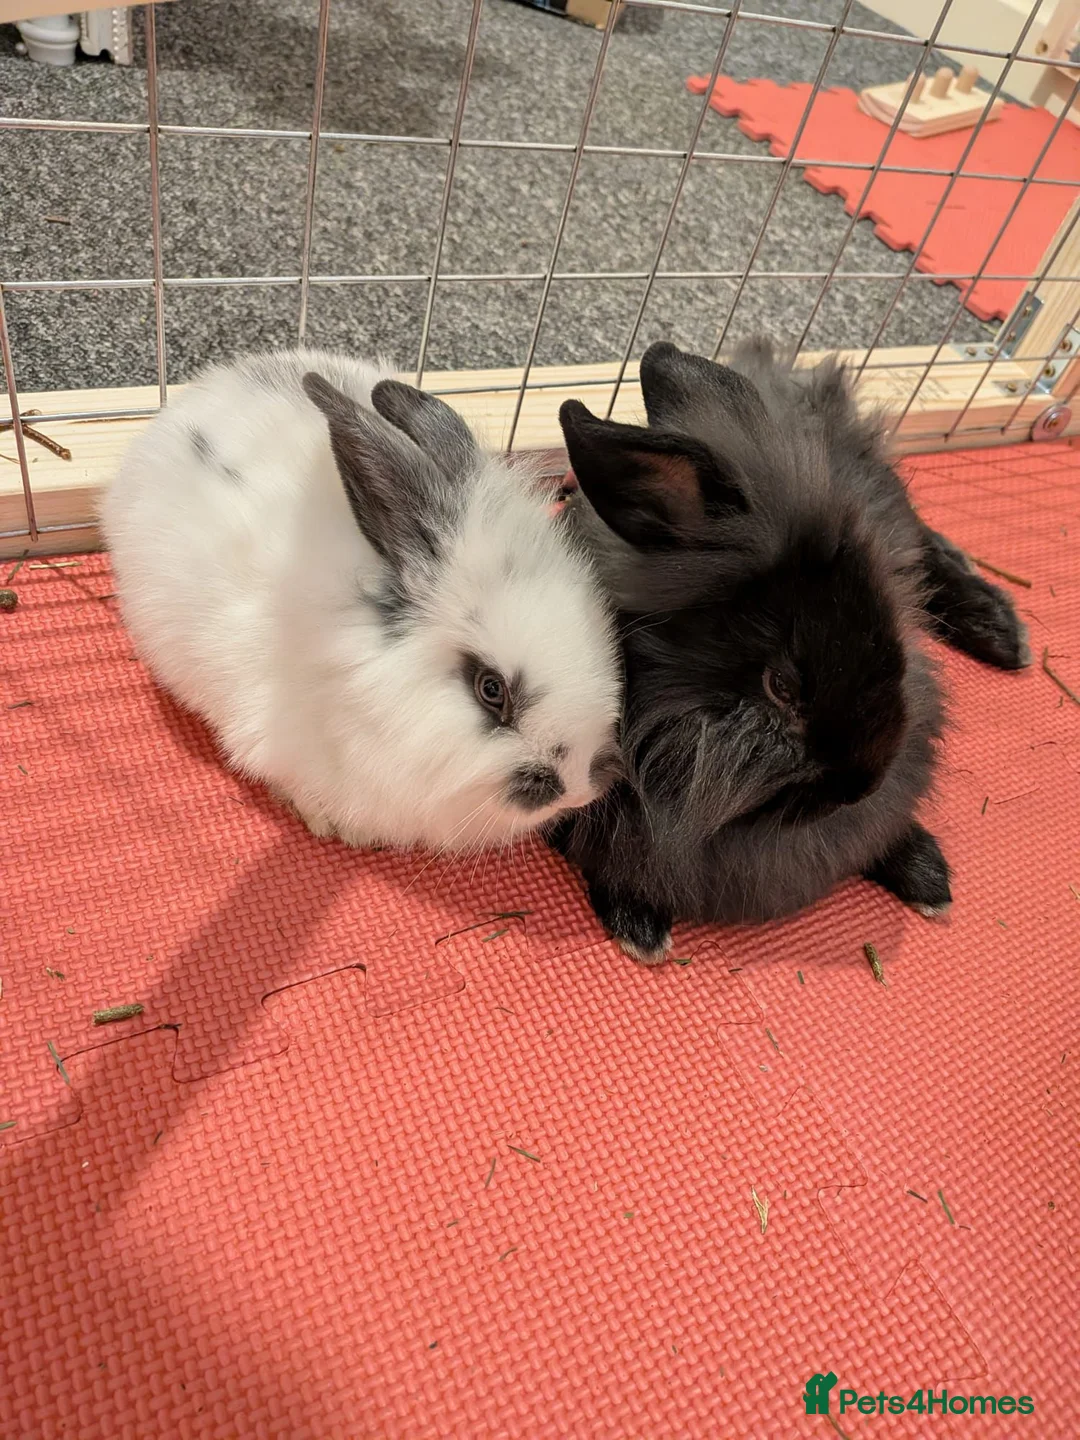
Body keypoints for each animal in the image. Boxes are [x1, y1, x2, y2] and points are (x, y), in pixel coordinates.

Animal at [548, 339, 1030, 963]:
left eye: (890, 642)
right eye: (782, 686)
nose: (860, 787)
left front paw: (927, 875)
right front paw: (640, 927)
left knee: (933, 549)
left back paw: (1003, 633)